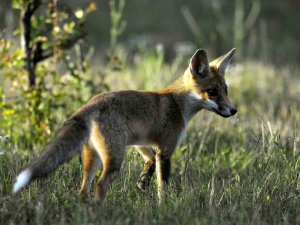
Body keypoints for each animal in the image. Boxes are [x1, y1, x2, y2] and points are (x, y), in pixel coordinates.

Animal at [12, 48, 237, 203]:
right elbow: (163, 187)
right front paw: (163, 206)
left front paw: (142, 183)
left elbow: (149, 162)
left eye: (226, 90)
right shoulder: (165, 150)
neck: (177, 103)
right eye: (212, 92)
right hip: (114, 159)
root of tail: (91, 102)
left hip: (93, 158)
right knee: (100, 186)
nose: (233, 110)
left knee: (83, 190)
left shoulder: (140, 142)